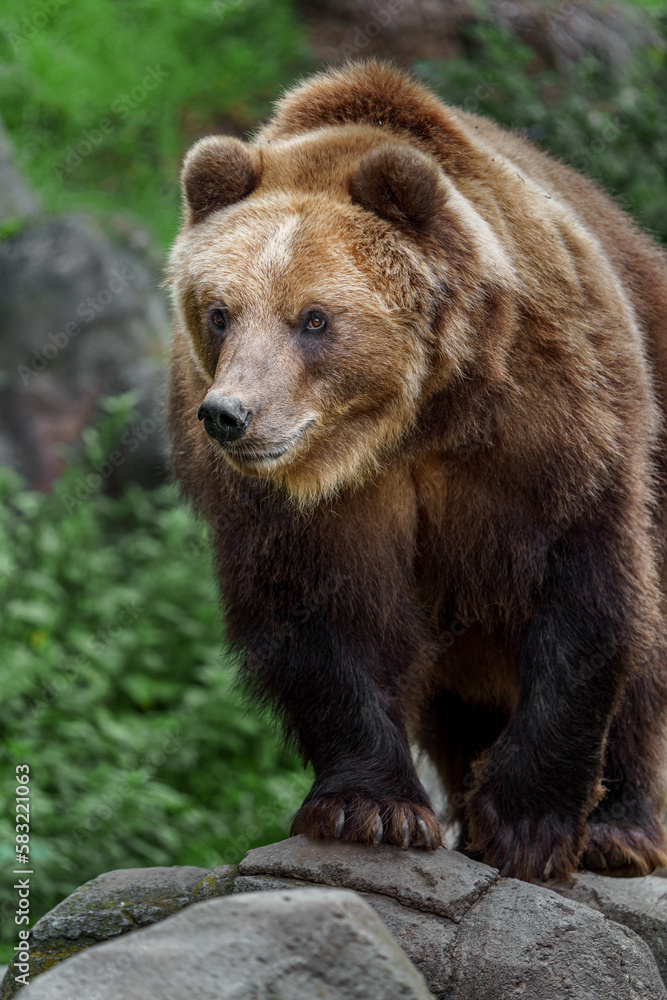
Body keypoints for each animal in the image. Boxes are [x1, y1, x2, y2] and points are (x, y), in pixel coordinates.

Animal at [166, 58, 667, 880]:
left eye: (314, 318)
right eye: (219, 311)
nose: (230, 415)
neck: (410, 423)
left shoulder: (553, 418)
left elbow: (584, 589)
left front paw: (528, 824)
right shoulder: (306, 505)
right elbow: (320, 614)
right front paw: (372, 808)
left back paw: (619, 831)